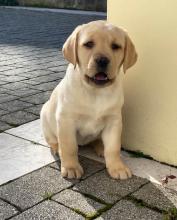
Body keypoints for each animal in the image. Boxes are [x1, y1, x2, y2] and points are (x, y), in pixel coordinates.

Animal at [40, 20, 138, 179]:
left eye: (116, 46)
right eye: (88, 44)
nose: (102, 60)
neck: (95, 91)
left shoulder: (114, 121)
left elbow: (113, 148)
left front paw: (117, 168)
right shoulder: (66, 120)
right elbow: (69, 147)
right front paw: (71, 167)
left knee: (97, 141)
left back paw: (100, 148)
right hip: (45, 116)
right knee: (54, 140)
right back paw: (56, 148)